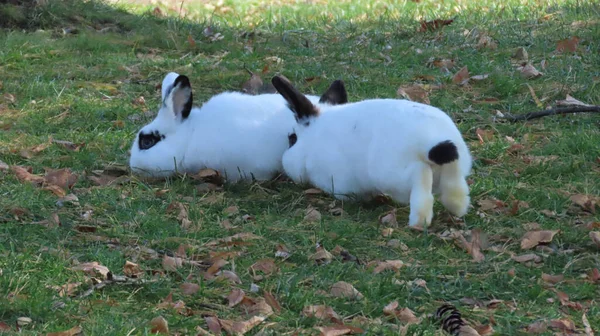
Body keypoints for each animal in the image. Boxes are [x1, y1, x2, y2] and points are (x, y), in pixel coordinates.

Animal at [272, 75, 474, 228]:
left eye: (292, 138)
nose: (284, 162)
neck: (312, 141)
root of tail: (433, 141)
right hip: (454, 166)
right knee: (455, 184)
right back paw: (457, 208)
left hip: (393, 174)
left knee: (420, 178)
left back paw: (418, 221)